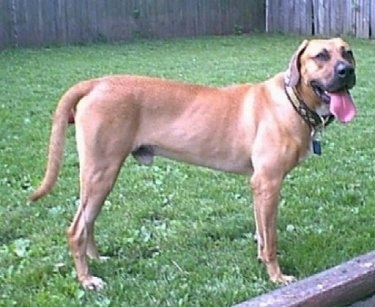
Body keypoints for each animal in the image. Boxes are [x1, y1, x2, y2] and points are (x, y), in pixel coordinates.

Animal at [30, 38, 358, 292]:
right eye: (321, 56)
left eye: (348, 52)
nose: (348, 71)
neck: (292, 100)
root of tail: (95, 83)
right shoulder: (269, 182)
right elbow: (272, 239)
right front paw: (276, 276)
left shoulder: (259, 186)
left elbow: (261, 233)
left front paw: (261, 259)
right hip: (102, 173)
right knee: (76, 229)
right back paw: (87, 280)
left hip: (99, 177)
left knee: (88, 222)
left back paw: (95, 260)